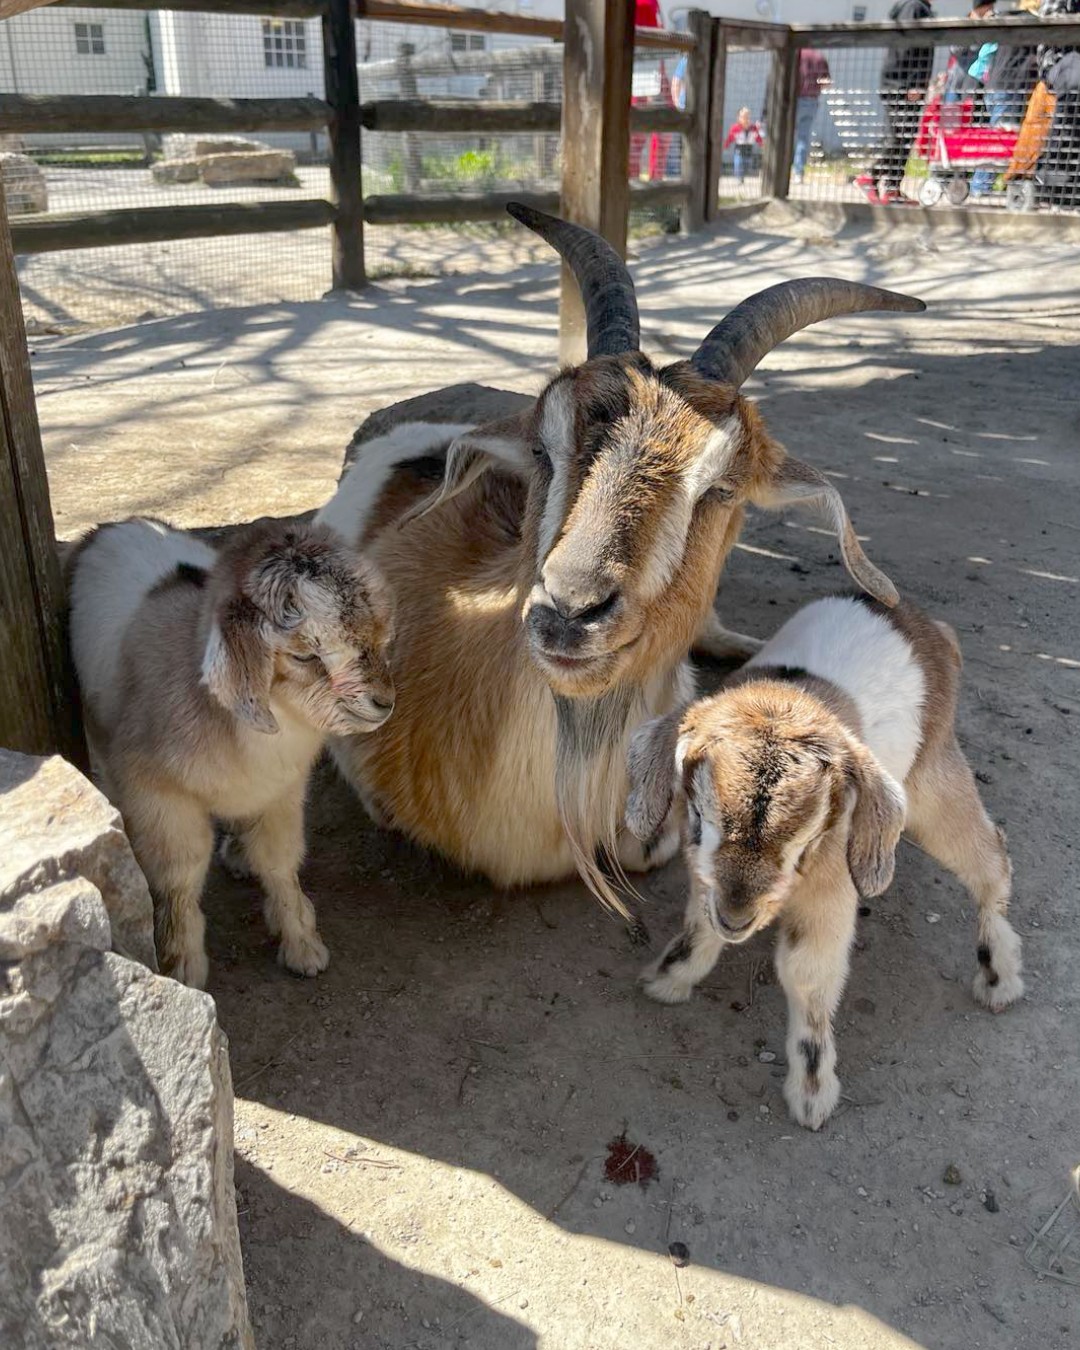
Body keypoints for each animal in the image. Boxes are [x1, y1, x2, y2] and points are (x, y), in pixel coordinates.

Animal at [68, 516, 395, 987]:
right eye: (304, 654)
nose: (383, 703)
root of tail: (111, 524)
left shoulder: (281, 791)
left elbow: (280, 862)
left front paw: (302, 944)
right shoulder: (159, 797)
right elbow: (180, 876)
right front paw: (182, 966)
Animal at [625, 594, 1024, 1129]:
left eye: (806, 834)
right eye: (700, 817)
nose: (738, 917)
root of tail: (926, 625)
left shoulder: (830, 886)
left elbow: (807, 974)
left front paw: (812, 1096)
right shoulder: (704, 877)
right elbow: (698, 924)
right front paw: (668, 979)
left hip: (932, 781)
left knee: (990, 856)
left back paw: (999, 976)